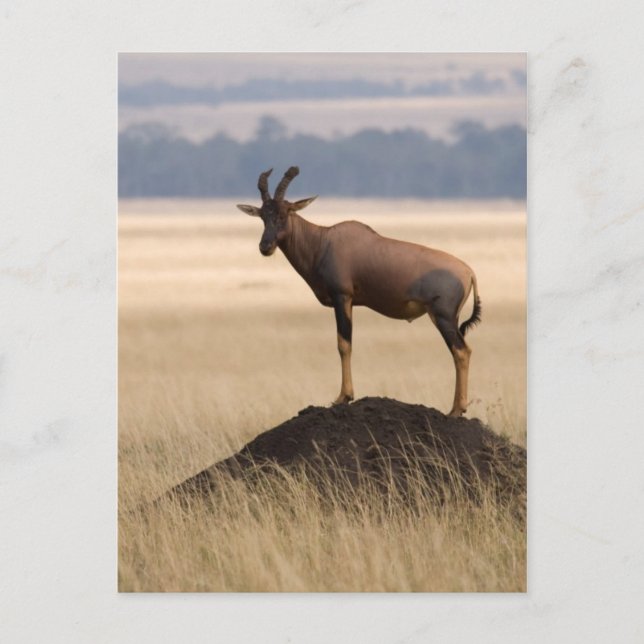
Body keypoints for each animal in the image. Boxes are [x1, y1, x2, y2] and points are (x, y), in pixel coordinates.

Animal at [237, 167, 481, 417]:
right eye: (263, 216)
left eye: (284, 213)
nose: (265, 247)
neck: (323, 241)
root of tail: (468, 271)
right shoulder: (351, 302)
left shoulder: (342, 297)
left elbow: (344, 344)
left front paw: (343, 397)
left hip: (443, 317)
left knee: (462, 351)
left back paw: (456, 410)